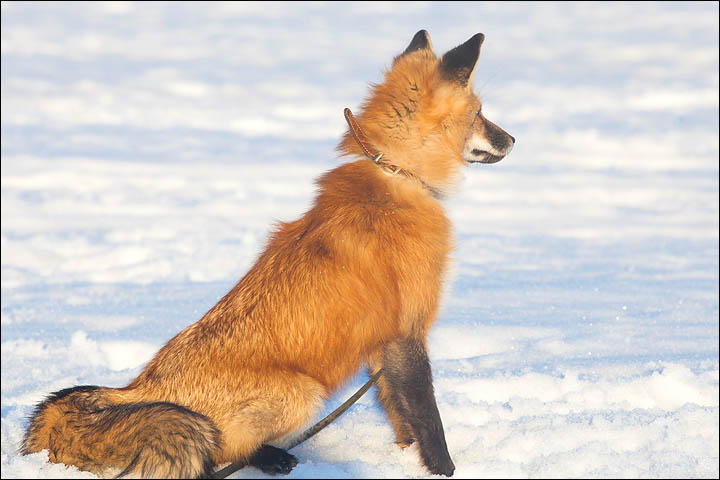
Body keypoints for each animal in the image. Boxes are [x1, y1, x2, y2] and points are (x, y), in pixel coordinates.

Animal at [21, 29, 512, 476]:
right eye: (480, 114)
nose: (512, 141)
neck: (397, 176)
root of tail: (139, 387)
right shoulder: (407, 327)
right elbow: (428, 416)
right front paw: (444, 469)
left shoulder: (383, 342)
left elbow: (399, 414)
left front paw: (405, 460)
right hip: (301, 393)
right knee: (217, 453)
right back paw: (270, 457)